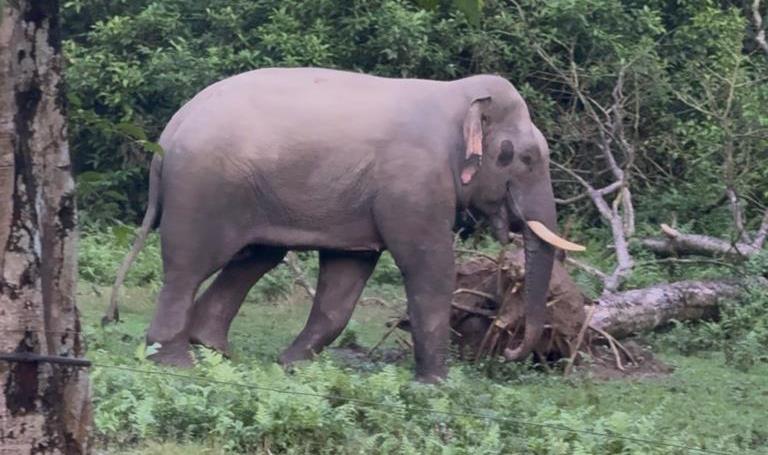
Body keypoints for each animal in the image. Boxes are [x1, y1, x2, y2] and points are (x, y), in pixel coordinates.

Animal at [108, 67, 584, 383]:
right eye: (525, 158)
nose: (509, 351)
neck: (458, 97)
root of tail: (169, 132)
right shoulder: (414, 184)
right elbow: (428, 267)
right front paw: (436, 385)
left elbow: (346, 278)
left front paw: (292, 366)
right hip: (205, 189)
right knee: (189, 266)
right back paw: (176, 362)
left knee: (257, 256)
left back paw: (215, 349)